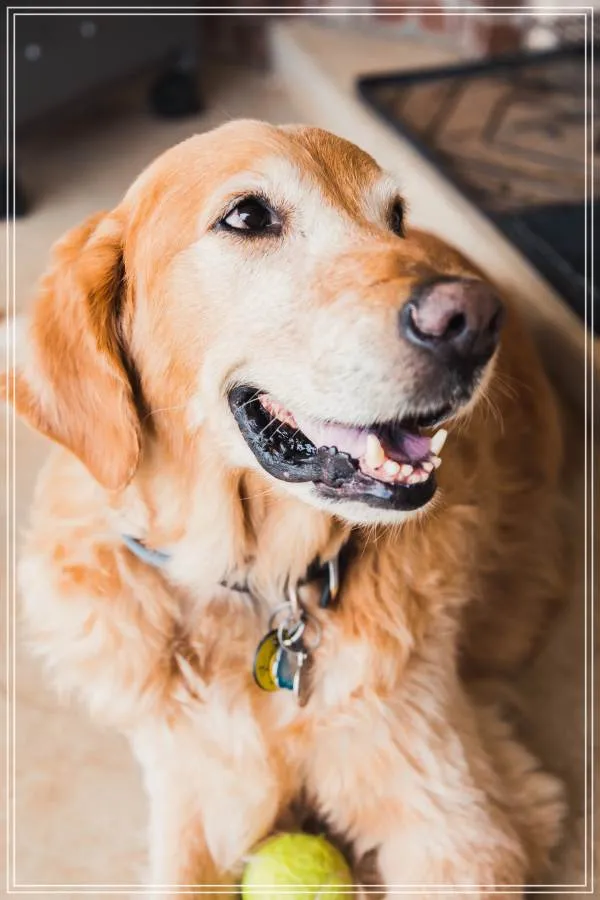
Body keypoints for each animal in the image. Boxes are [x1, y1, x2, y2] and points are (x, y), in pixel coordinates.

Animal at [4, 121, 569, 896]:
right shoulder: (192, 787)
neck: (254, 584)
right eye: (247, 216)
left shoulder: (460, 818)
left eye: (396, 218)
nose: (475, 320)